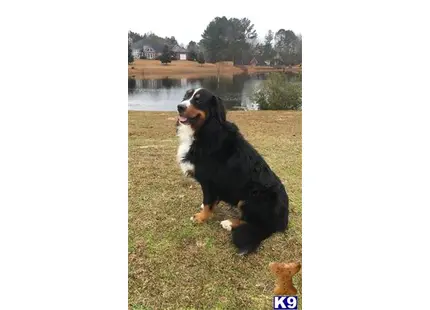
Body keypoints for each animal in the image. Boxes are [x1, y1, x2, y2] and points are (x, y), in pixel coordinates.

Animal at [175, 87, 288, 254]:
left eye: (198, 100)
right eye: (186, 96)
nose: (180, 107)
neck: (206, 129)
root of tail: (282, 221)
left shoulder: (208, 181)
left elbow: (208, 201)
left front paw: (201, 217)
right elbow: (211, 201)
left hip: (251, 197)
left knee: (255, 223)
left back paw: (228, 223)